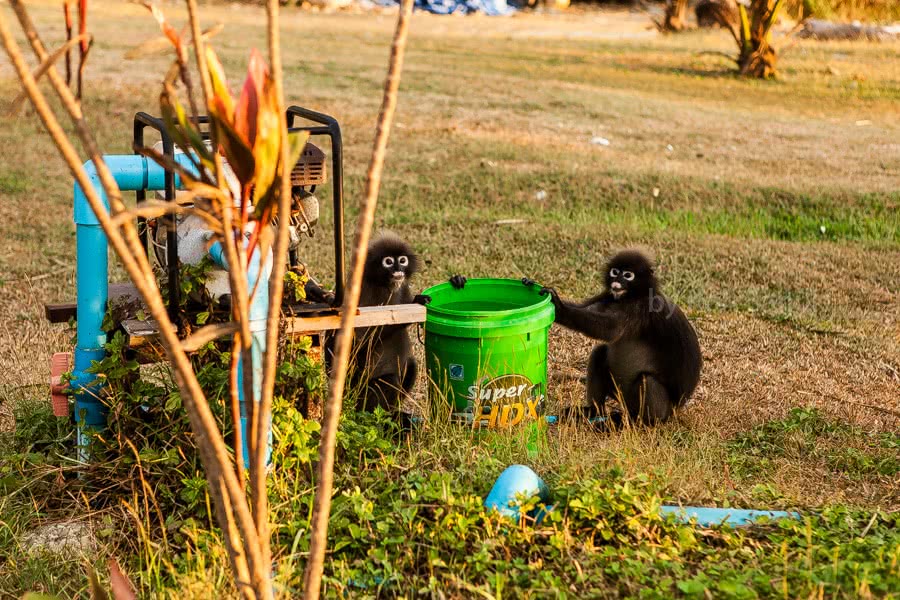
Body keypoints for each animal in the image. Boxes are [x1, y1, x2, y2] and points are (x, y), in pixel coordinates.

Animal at [540, 248, 704, 426]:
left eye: (627, 275)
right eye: (615, 272)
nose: (616, 284)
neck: (632, 297)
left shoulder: (642, 308)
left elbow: (609, 329)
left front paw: (559, 308)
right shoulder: (608, 297)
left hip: (661, 408)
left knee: (647, 380)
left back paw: (636, 422)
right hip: (617, 393)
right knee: (599, 352)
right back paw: (593, 411)